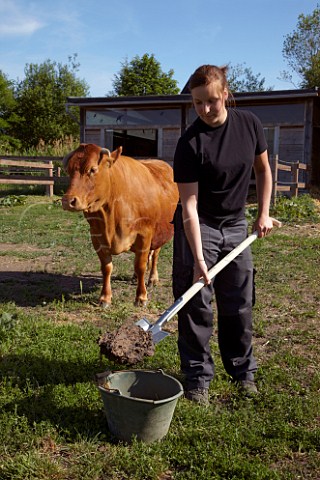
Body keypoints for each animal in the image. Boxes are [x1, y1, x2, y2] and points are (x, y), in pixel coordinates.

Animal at [61, 143, 179, 308]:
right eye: (69, 170)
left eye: (92, 169)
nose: (68, 201)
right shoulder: (96, 236)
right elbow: (106, 267)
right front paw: (105, 298)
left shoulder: (145, 233)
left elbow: (141, 265)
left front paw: (141, 297)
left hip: (160, 232)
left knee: (154, 254)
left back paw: (152, 278)